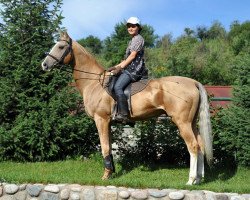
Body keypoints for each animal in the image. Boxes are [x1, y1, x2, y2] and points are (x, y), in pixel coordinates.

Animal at [41, 30, 213, 184]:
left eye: (61, 47)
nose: (44, 64)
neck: (94, 82)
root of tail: (193, 82)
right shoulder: (108, 123)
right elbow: (109, 148)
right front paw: (111, 172)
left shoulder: (101, 120)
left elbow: (104, 147)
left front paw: (106, 176)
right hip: (191, 123)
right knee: (200, 146)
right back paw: (199, 179)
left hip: (182, 123)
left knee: (193, 146)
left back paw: (191, 180)